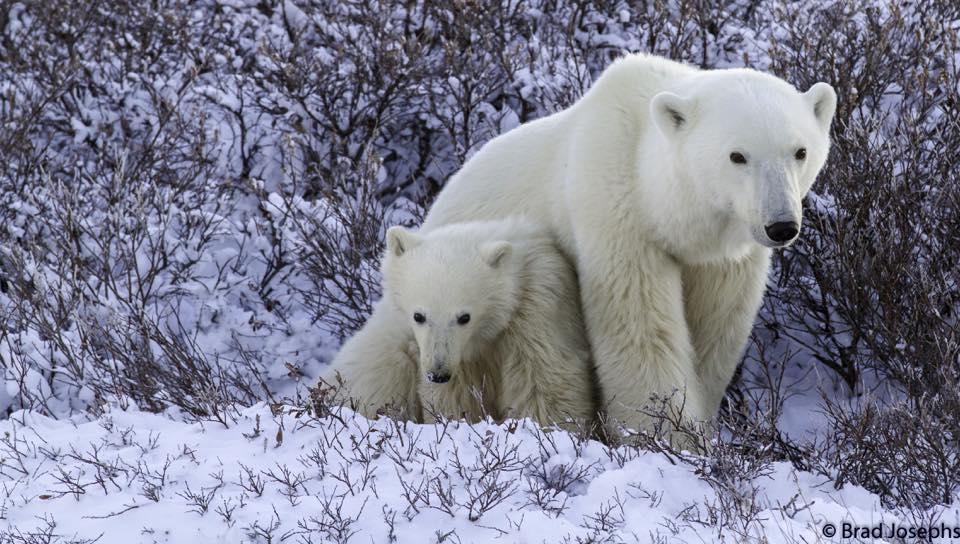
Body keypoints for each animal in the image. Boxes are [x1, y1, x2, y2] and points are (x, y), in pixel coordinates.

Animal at [323, 218, 598, 429]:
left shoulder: (536, 311)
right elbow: (455, 398)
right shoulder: (458, 359)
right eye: (418, 316)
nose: (438, 373)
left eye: (464, 317)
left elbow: (541, 382)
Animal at [418, 53, 837, 433]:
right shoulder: (618, 213)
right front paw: (668, 437)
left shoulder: (723, 258)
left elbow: (716, 331)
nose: (781, 226)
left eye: (800, 151)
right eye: (737, 156)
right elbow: (639, 329)